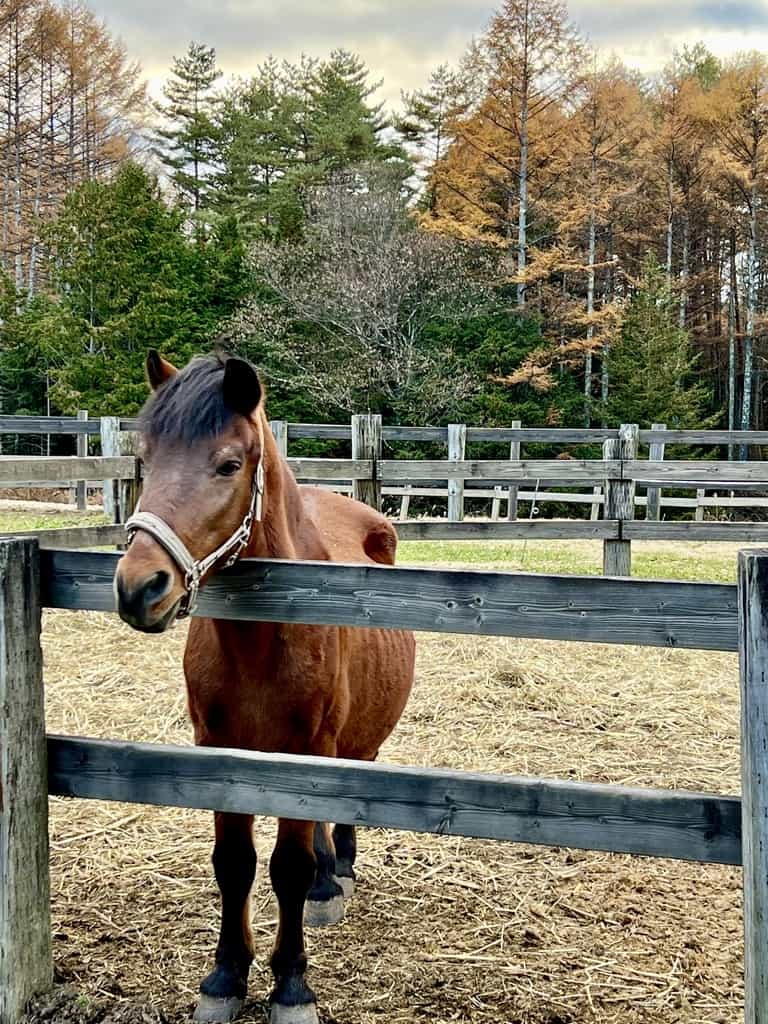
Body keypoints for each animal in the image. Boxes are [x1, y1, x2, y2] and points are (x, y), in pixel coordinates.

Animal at [112, 354, 421, 1024]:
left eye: (228, 464)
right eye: (147, 459)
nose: (139, 587)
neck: (263, 639)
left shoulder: (304, 752)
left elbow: (289, 868)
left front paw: (291, 985)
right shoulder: (219, 748)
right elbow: (235, 864)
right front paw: (226, 975)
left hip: (352, 745)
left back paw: (335, 876)